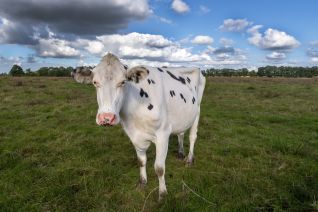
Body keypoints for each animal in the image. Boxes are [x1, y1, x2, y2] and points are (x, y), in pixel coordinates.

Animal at [72, 53, 206, 200]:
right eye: (95, 83)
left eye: (123, 82)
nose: (106, 118)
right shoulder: (134, 134)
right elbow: (141, 161)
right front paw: (142, 183)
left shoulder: (163, 134)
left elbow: (159, 168)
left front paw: (162, 194)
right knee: (181, 133)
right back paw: (181, 153)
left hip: (197, 110)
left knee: (192, 136)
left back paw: (189, 159)